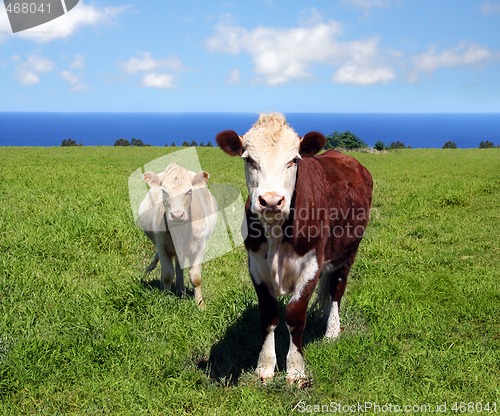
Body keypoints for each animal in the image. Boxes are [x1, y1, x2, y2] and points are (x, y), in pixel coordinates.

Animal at [137, 162, 217, 308]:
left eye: (189, 191)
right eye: (164, 191)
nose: (177, 215)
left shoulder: (199, 247)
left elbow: (195, 277)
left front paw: (201, 305)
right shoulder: (162, 246)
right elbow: (168, 274)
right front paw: (165, 299)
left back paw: (181, 291)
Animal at [217, 113, 374, 384]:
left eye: (293, 160)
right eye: (249, 159)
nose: (270, 201)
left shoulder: (312, 264)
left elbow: (295, 315)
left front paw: (296, 370)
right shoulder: (255, 265)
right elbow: (269, 315)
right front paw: (265, 367)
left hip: (349, 251)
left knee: (337, 288)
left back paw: (332, 330)